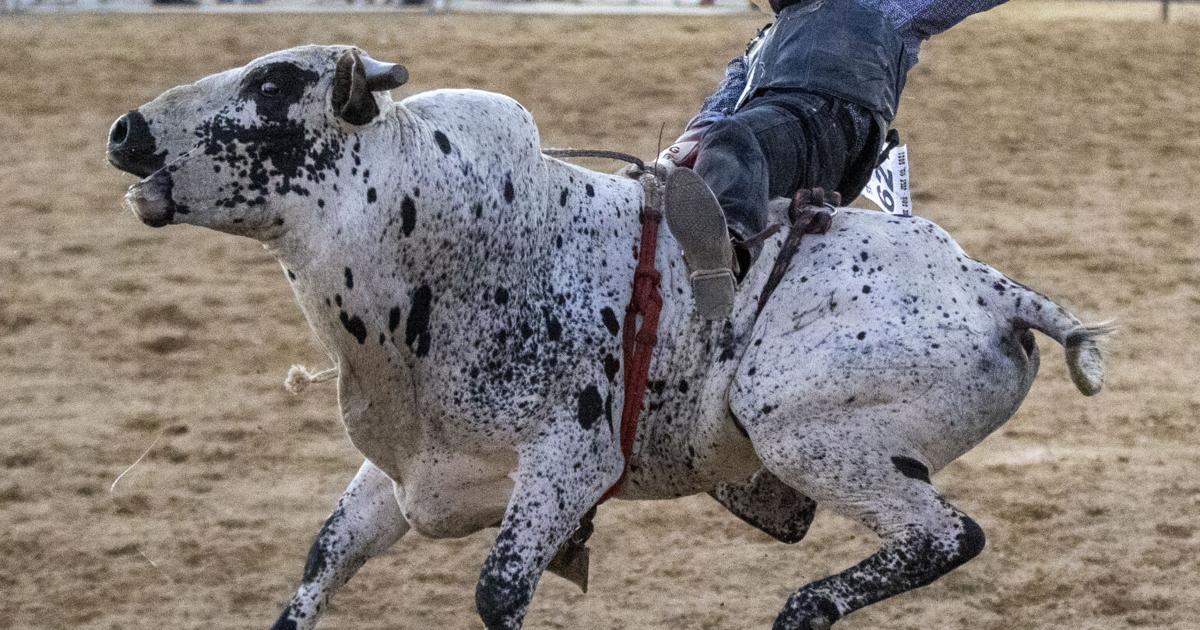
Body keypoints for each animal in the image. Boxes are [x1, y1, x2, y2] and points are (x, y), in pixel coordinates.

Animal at [106, 45, 1110, 630]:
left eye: (273, 84)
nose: (124, 130)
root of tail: (994, 290)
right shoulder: (405, 475)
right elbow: (323, 562)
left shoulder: (567, 458)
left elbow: (498, 589)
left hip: (808, 429)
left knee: (949, 535)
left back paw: (805, 607)